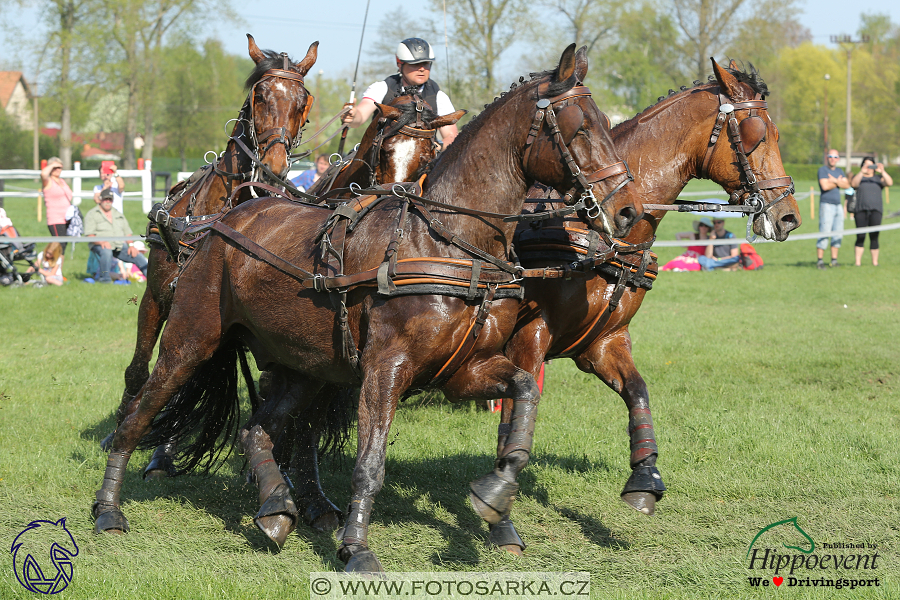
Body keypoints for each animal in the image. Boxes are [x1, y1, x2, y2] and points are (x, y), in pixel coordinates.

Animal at [101, 35, 320, 452]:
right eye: (259, 95)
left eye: (303, 102)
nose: (275, 165)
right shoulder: (156, 296)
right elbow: (139, 368)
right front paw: (123, 423)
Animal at [492, 58, 800, 552]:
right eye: (756, 134)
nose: (789, 216)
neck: (590, 229)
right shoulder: (528, 339)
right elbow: (515, 418)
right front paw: (500, 511)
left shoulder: (602, 342)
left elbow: (638, 392)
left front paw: (644, 478)